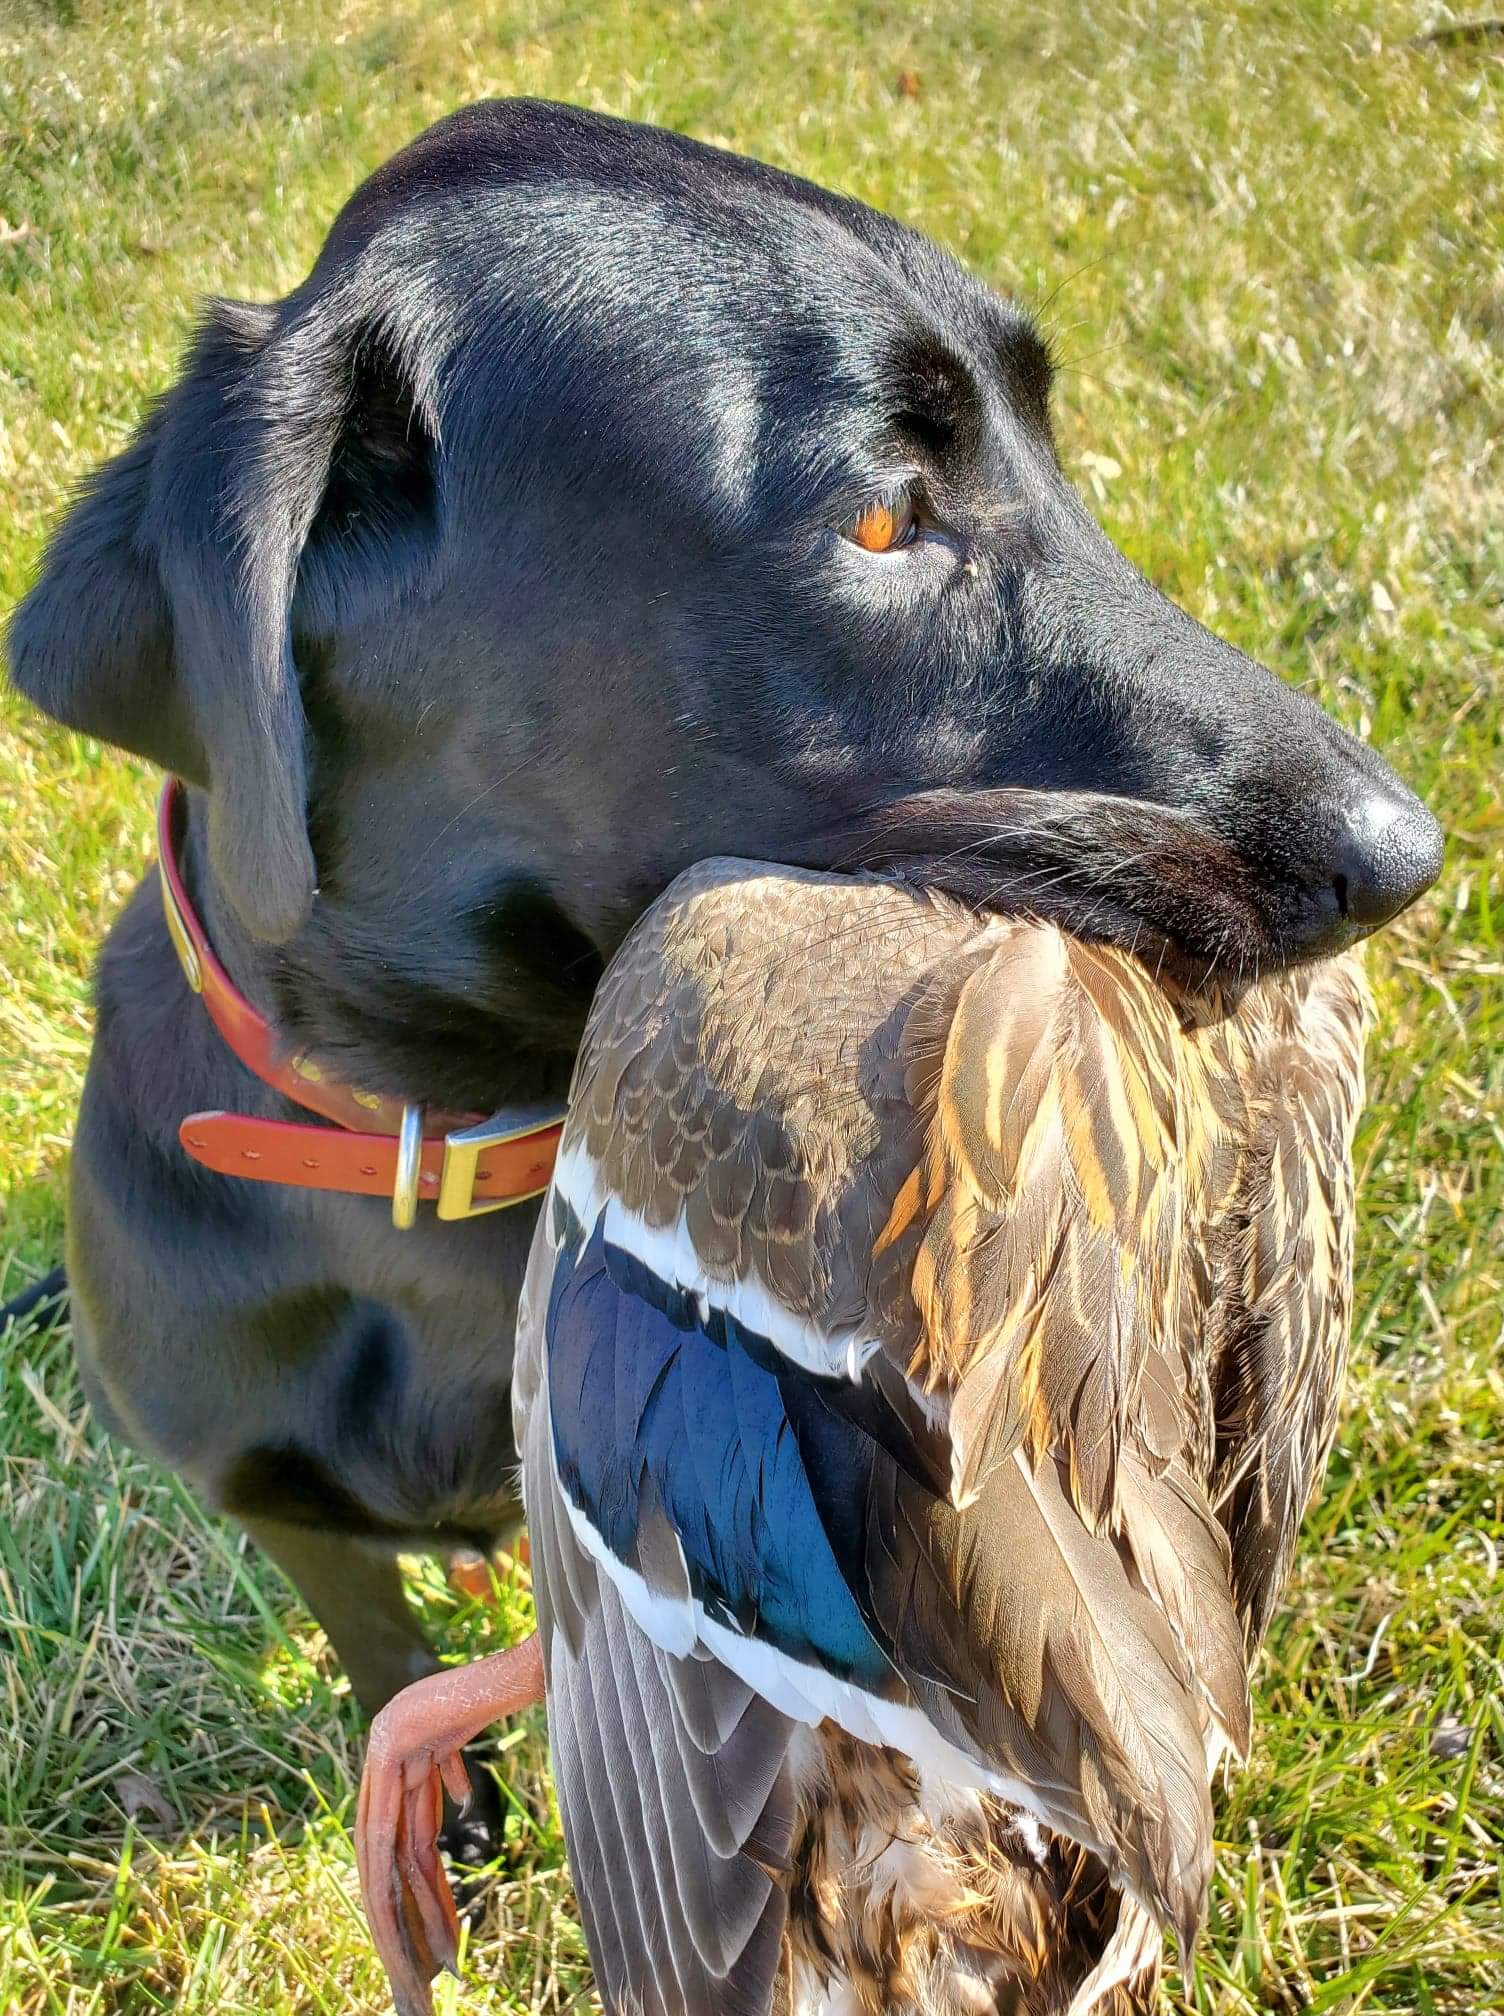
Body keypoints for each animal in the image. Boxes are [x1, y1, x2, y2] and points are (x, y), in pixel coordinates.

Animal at [5, 94, 1435, 1854]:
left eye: (1053, 451)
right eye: (880, 515)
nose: (1408, 855)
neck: (432, 1144)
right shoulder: (277, 1498)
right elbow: (381, 1637)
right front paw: (454, 1809)